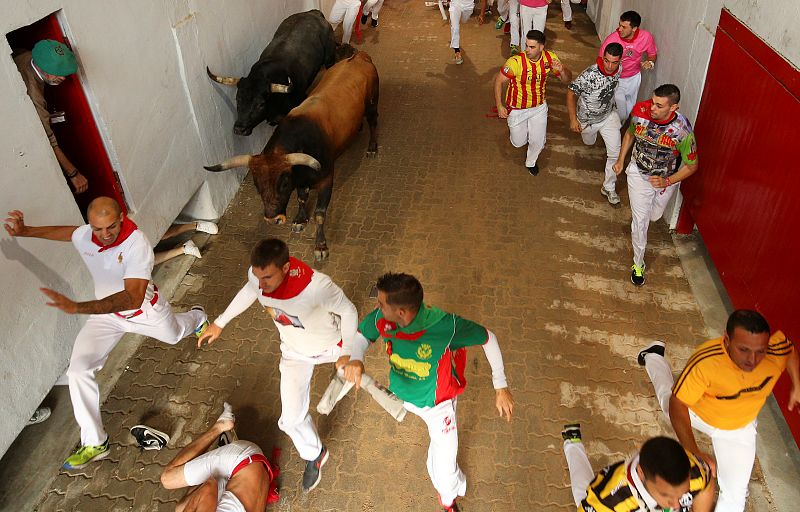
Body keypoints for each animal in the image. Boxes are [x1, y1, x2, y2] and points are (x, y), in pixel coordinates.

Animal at [206, 50, 382, 260]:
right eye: (257, 185)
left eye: (283, 183)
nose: (272, 218)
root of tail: (359, 56)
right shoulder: (301, 180)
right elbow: (301, 198)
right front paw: (299, 219)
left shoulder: (326, 179)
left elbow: (320, 214)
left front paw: (320, 246)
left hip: (372, 103)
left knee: (373, 122)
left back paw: (372, 147)